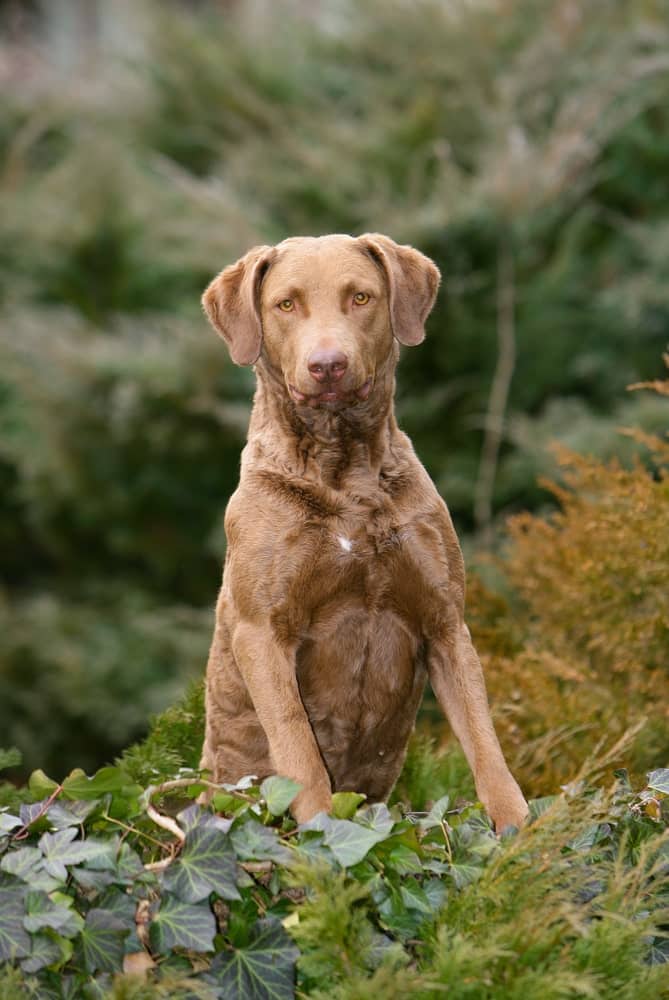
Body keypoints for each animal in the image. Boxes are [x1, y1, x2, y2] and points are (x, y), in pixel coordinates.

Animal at [198, 232, 528, 828]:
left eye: (360, 297)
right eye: (286, 304)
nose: (328, 365)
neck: (345, 470)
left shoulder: (446, 623)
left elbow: (484, 739)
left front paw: (516, 825)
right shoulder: (262, 632)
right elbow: (298, 747)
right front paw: (321, 831)